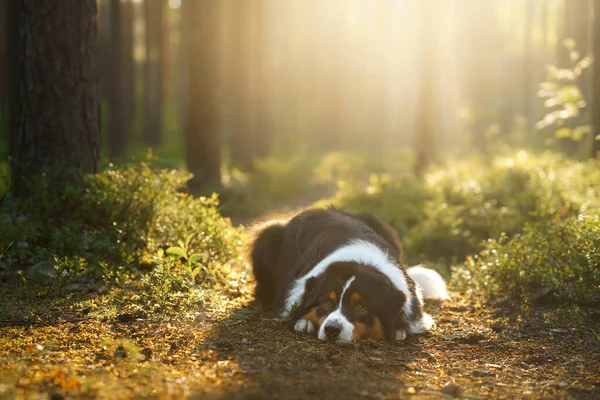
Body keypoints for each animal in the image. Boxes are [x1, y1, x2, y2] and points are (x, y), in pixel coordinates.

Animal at [246, 208, 448, 342]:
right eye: (328, 302)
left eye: (360, 307)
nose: (331, 330)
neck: (360, 262)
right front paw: (305, 322)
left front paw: (399, 329)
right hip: (267, 235)